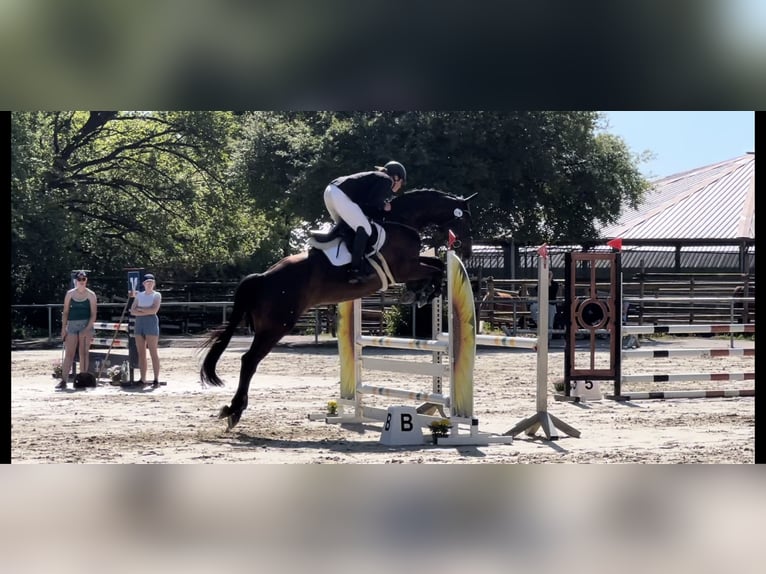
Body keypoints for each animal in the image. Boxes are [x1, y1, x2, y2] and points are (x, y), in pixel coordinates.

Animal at [200, 187, 474, 430]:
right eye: (465, 219)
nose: (467, 251)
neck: (402, 222)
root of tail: (263, 278)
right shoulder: (405, 267)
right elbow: (438, 267)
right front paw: (424, 292)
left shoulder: (411, 265)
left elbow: (435, 263)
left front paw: (420, 292)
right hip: (276, 326)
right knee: (249, 360)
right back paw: (234, 410)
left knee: (249, 360)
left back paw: (233, 409)